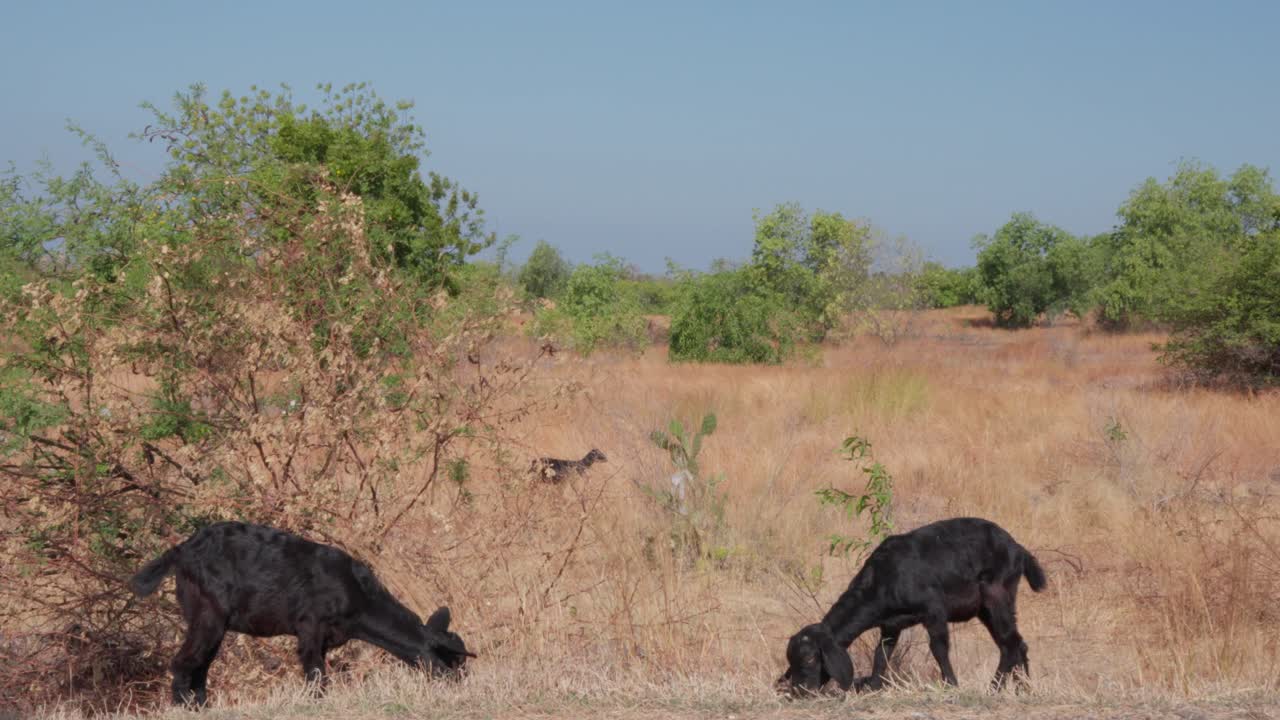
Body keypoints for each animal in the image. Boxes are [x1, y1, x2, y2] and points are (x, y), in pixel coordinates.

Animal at [128, 521, 475, 707]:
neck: (360, 597)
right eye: (451, 661)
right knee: (183, 663)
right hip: (208, 614)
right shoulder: (310, 628)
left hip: (212, 623)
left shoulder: (325, 639)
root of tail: (182, 551)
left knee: (200, 668)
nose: (460, 685)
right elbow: (317, 675)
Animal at [779, 517, 1047, 696]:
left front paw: (951, 684)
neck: (883, 578)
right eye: (792, 660)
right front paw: (874, 685)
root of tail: (1018, 549)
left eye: (810, 658)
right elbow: (881, 655)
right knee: (1016, 643)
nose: (800, 691)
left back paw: (994, 688)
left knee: (1010, 644)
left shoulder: (934, 611)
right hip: (987, 609)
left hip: (996, 597)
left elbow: (939, 649)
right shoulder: (890, 627)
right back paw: (1023, 689)